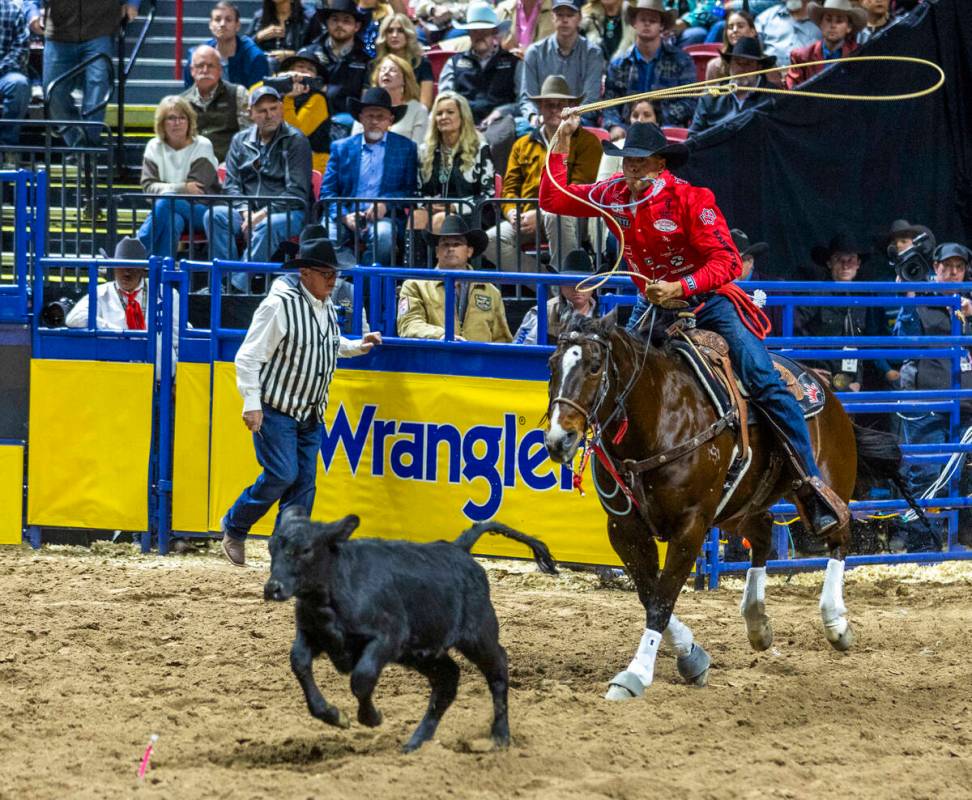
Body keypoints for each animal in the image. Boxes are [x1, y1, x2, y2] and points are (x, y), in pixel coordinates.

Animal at [262, 510, 560, 752]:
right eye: (271, 547)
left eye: (305, 549)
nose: (273, 588)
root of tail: (459, 550)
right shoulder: (313, 635)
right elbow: (299, 662)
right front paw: (334, 716)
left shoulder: (388, 638)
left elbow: (362, 678)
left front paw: (371, 718)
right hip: (423, 654)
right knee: (447, 680)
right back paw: (416, 744)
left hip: (479, 636)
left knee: (498, 668)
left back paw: (500, 737)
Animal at [548, 312, 880, 700]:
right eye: (552, 364)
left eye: (595, 366)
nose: (559, 439)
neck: (660, 418)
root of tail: (823, 386)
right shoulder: (624, 529)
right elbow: (649, 593)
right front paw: (692, 656)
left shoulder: (690, 526)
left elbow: (662, 600)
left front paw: (636, 674)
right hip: (738, 507)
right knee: (763, 533)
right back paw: (756, 621)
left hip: (825, 484)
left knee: (839, 537)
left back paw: (835, 622)